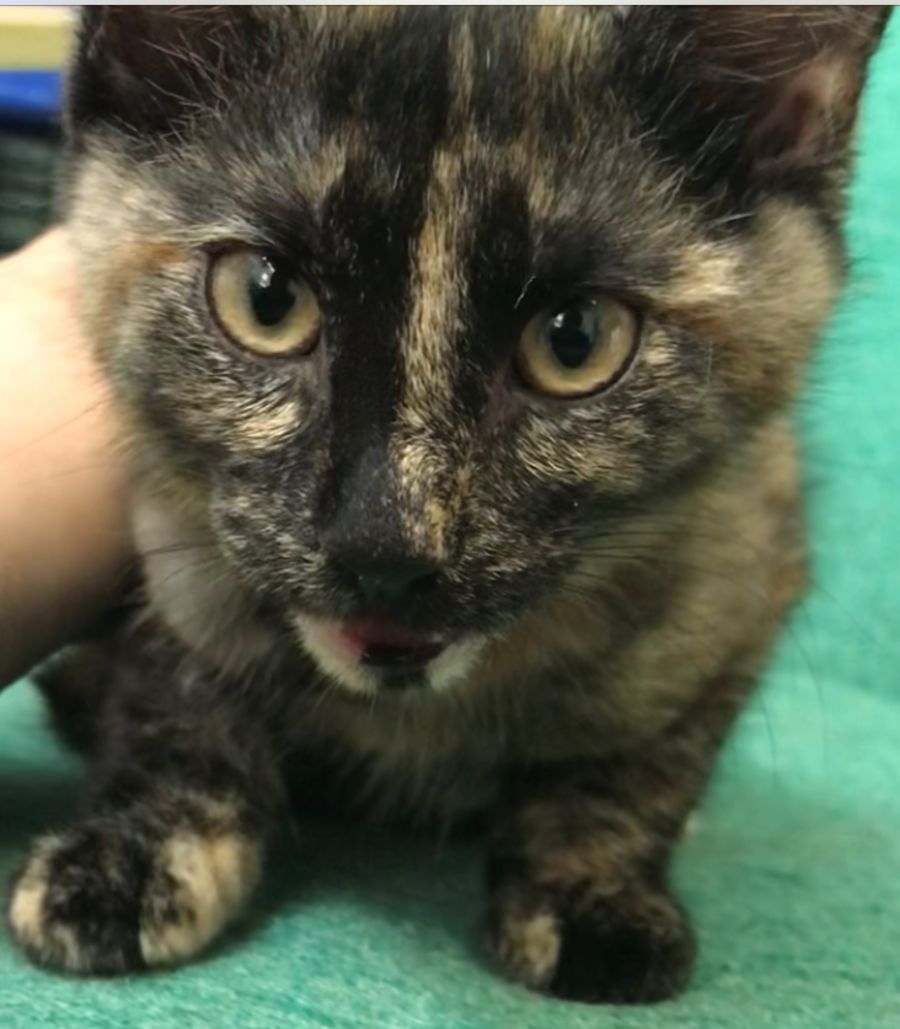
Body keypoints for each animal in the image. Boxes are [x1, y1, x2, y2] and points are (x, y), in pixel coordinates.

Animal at [7, 6, 890, 1004]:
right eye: (266, 300)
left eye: (577, 339)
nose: (384, 546)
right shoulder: (168, 528)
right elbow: (176, 696)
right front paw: (138, 853)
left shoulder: (747, 563)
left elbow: (639, 765)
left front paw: (590, 884)